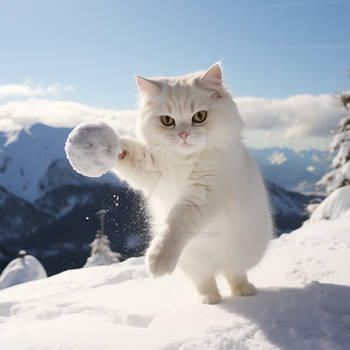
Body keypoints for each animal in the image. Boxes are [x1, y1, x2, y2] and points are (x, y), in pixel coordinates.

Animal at [113, 63, 272, 304]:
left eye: (200, 116)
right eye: (167, 120)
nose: (183, 135)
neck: (185, 162)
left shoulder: (204, 193)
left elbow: (176, 224)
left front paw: (157, 260)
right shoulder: (153, 169)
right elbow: (130, 154)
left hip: (240, 255)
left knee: (234, 274)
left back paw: (242, 291)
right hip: (194, 264)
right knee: (206, 280)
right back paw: (210, 299)